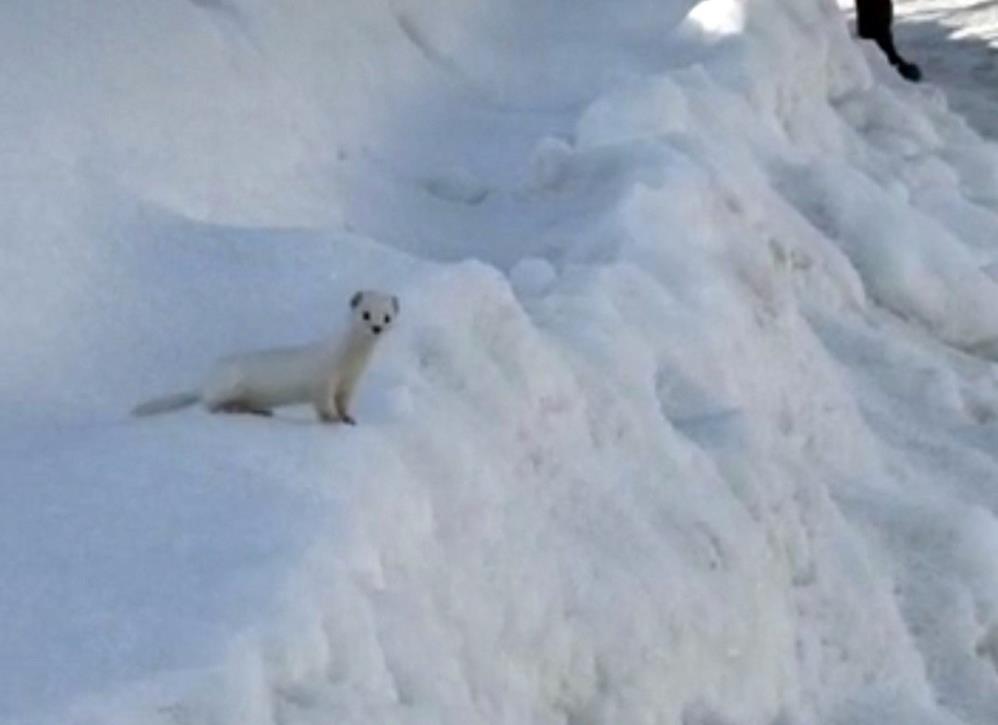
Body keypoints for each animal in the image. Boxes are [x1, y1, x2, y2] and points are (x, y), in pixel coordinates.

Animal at [132, 288, 398, 424]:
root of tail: (205, 382)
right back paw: (234, 409)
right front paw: (332, 419)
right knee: (210, 406)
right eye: (365, 314)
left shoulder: (349, 384)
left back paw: (259, 411)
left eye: (387, 317)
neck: (350, 364)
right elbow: (323, 403)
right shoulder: (322, 380)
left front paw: (348, 418)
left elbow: (344, 403)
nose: (376, 327)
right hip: (229, 383)